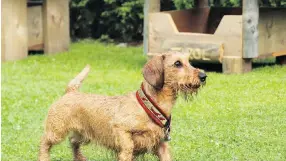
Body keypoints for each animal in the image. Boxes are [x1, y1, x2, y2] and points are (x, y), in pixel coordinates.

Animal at [38, 52, 207, 161]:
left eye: (189, 61)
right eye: (177, 63)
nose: (204, 76)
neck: (149, 106)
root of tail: (70, 91)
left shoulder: (161, 145)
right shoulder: (121, 130)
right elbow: (128, 147)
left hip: (82, 135)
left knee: (73, 142)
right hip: (56, 132)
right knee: (44, 142)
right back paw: (44, 158)